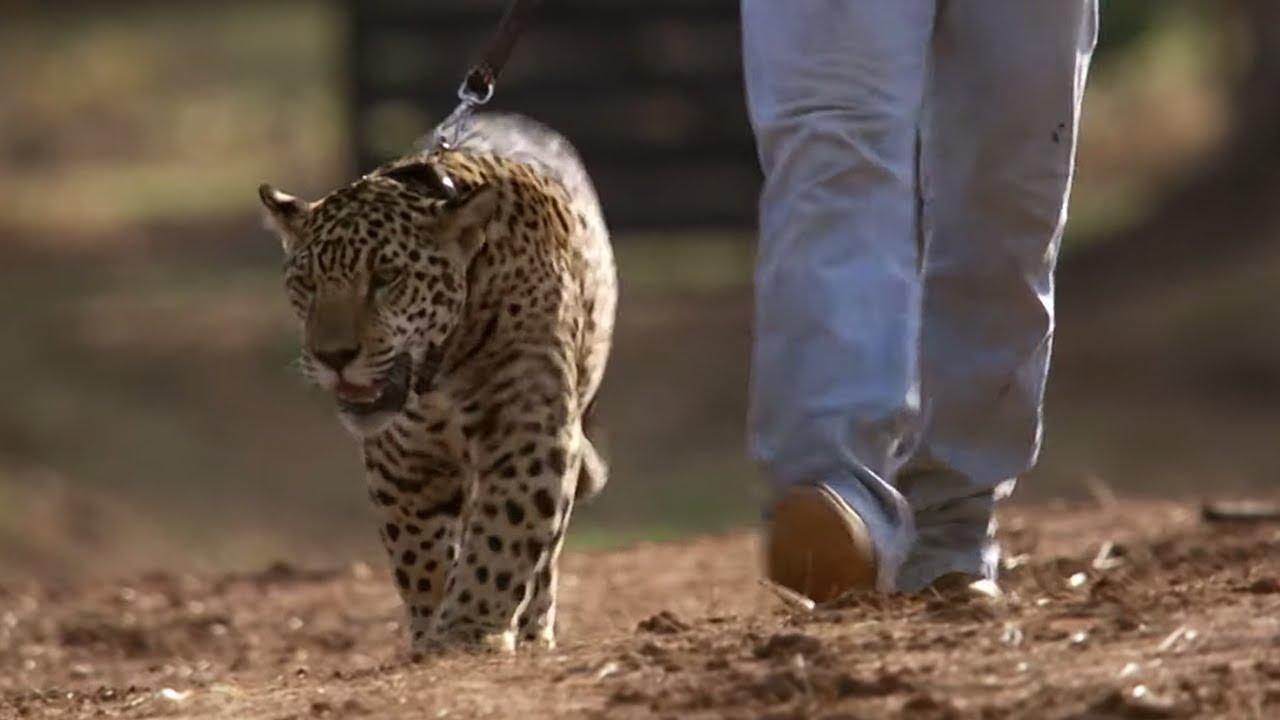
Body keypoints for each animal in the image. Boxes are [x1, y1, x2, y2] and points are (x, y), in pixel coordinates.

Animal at [255, 113, 617, 655]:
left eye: (386, 278)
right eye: (308, 284)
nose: (333, 357)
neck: (441, 371)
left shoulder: (527, 429)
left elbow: (504, 533)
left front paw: (470, 629)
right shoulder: (404, 461)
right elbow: (418, 553)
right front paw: (433, 632)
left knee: (545, 552)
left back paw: (534, 630)